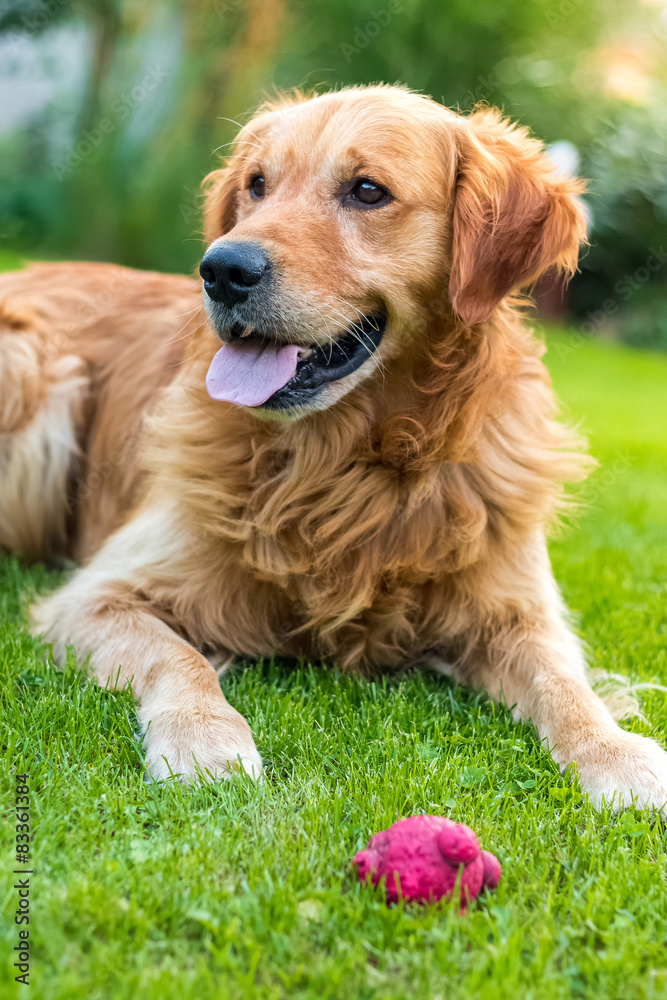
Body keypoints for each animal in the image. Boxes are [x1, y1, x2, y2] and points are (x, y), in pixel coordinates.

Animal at [1, 82, 667, 808]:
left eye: (367, 191)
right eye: (257, 185)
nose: (221, 269)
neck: (351, 461)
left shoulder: (516, 609)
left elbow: (564, 683)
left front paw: (615, 752)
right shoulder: (97, 596)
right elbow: (177, 656)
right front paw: (204, 736)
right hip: (36, 372)